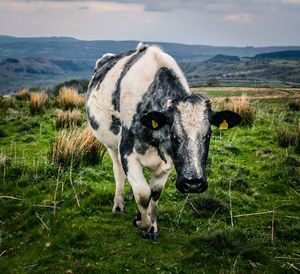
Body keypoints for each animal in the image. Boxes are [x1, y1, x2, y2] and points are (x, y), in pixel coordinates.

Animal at [86, 42, 241, 240]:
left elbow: (154, 193)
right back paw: (118, 204)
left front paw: (151, 227)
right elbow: (143, 193)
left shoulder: (167, 162)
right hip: (111, 145)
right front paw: (141, 221)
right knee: (119, 173)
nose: (193, 183)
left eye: (208, 135)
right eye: (174, 135)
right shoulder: (127, 152)